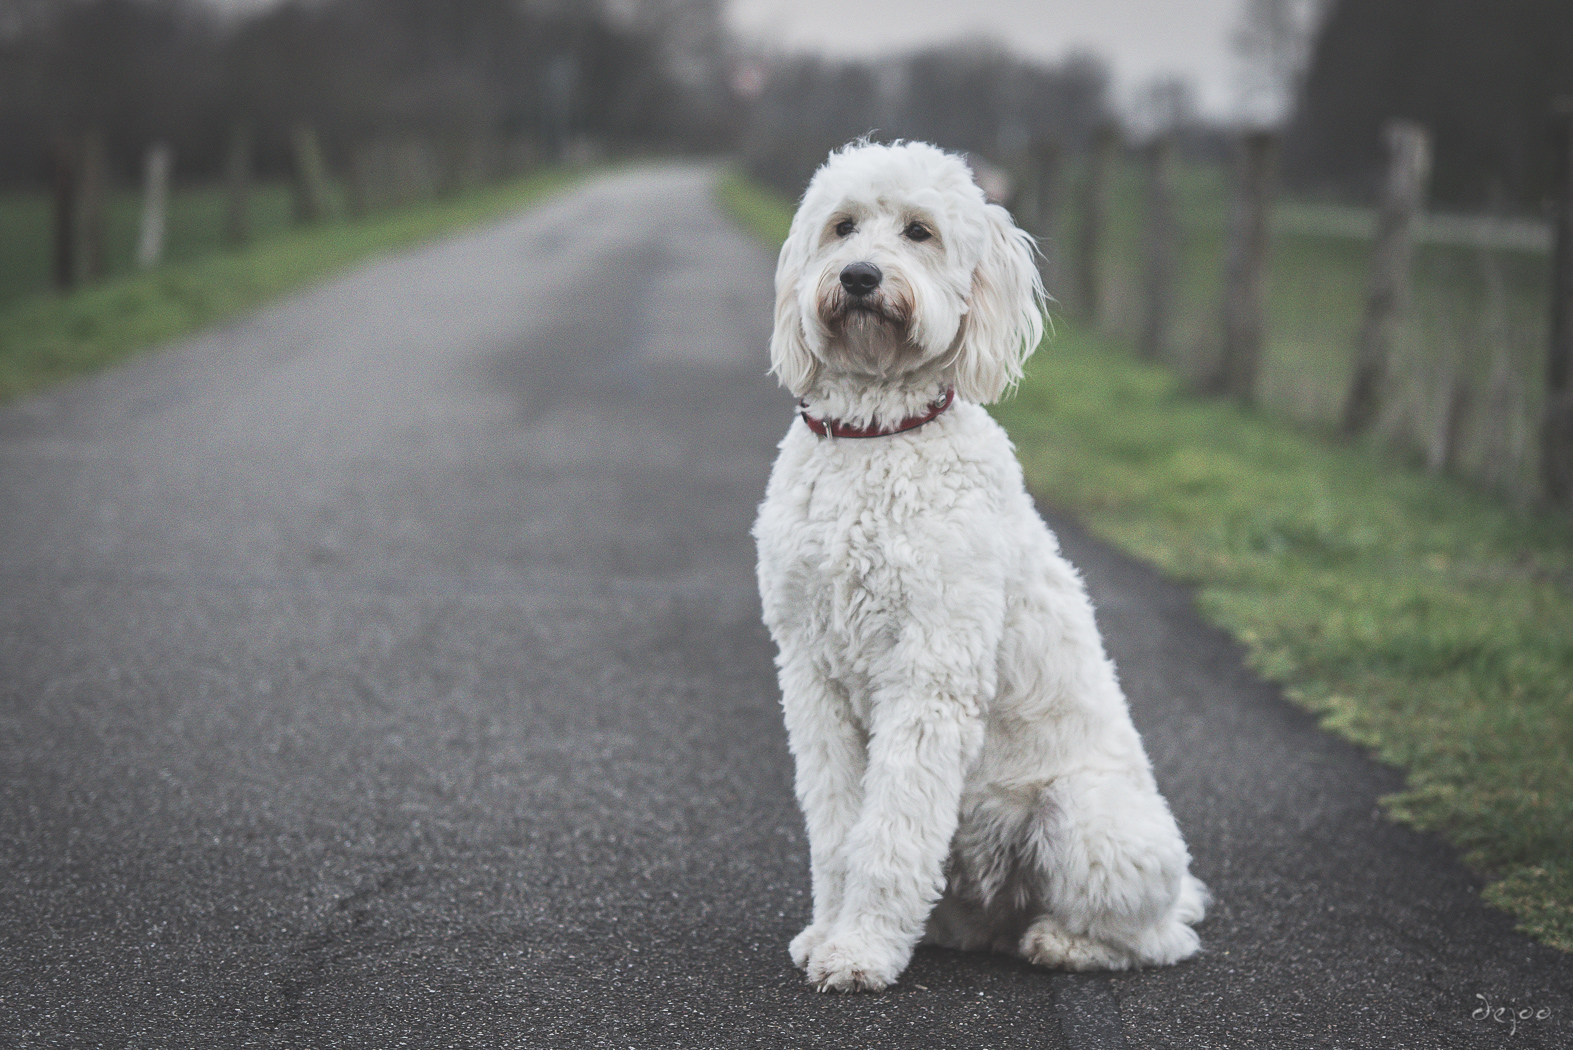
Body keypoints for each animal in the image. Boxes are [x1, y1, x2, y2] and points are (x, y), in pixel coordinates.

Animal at [748, 141, 1201, 993]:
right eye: (842, 226)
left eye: (918, 231)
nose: (859, 276)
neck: (876, 437)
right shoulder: (810, 673)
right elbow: (836, 826)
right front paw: (828, 931)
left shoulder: (930, 670)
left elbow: (888, 833)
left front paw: (859, 951)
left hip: (1087, 822)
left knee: (1159, 938)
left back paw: (1061, 943)